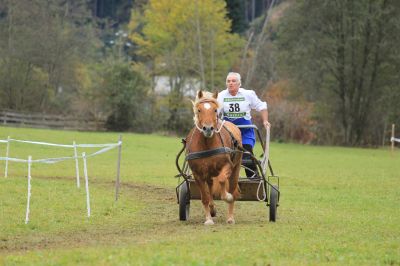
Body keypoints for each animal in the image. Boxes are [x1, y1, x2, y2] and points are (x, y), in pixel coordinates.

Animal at [186, 90, 242, 224]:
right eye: (199, 110)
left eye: (215, 110)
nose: (208, 128)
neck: (207, 144)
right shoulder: (197, 174)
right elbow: (205, 197)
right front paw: (208, 219)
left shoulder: (228, 166)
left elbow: (222, 180)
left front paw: (227, 197)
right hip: (208, 173)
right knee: (210, 187)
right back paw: (212, 209)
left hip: (235, 168)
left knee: (232, 188)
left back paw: (230, 217)